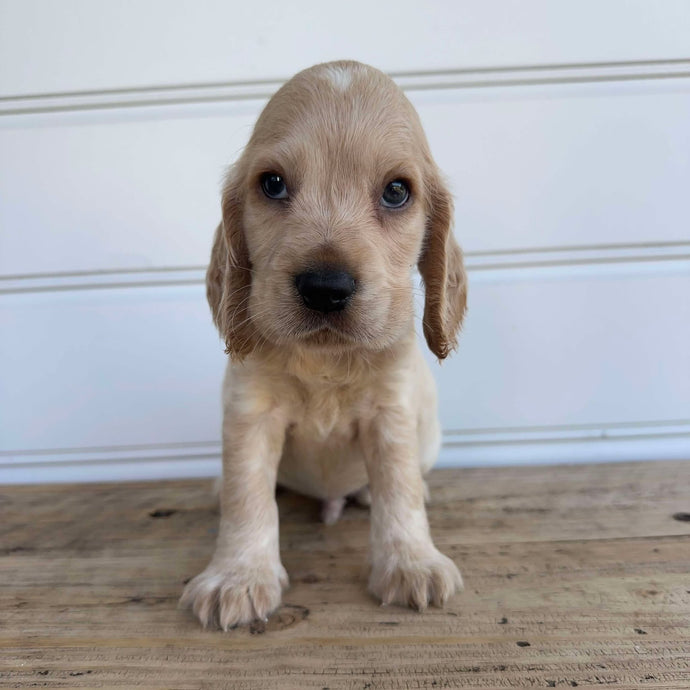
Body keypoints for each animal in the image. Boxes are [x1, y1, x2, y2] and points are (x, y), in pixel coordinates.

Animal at [180, 60, 464, 628]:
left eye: (396, 192)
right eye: (272, 184)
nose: (325, 288)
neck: (326, 360)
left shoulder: (391, 414)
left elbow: (398, 491)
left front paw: (412, 563)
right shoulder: (250, 415)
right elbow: (247, 495)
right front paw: (237, 576)